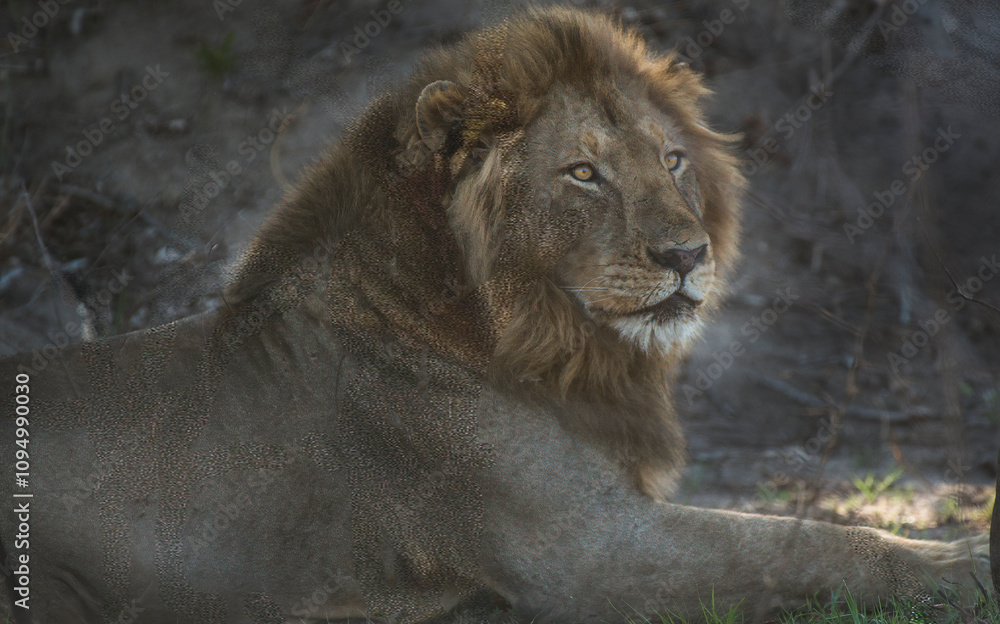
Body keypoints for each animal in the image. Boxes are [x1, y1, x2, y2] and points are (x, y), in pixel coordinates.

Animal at [0, 7, 989, 624]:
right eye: (583, 174)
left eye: (671, 159)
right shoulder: (591, 553)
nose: (688, 254)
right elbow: (799, 543)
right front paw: (966, 562)